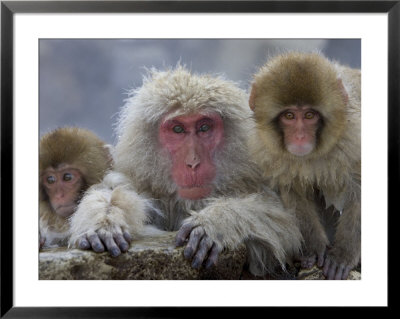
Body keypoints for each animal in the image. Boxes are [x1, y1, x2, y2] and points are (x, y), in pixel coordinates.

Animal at [69, 65, 302, 278]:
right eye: (178, 129)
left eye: (204, 127)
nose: (193, 163)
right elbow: (115, 188)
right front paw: (105, 222)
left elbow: (284, 224)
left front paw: (216, 222)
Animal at [248, 52, 360, 280]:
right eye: (289, 116)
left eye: (309, 115)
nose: (300, 137)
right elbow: (295, 193)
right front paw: (314, 249)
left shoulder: (355, 136)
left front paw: (342, 256)